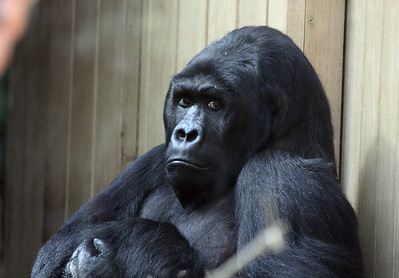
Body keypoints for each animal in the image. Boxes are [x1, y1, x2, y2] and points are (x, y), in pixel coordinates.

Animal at [31, 26, 364, 278]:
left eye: (215, 104)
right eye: (185, 101)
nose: (186, 133)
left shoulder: (280, 174)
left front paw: (125, 254)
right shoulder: (153, 159)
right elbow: (63, 242)